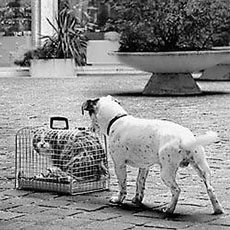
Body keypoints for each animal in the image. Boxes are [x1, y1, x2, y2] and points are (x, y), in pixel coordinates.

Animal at [82, 95, 224, 214]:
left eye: (89, 114)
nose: (88, 129)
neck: (116, 119)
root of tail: (186, 138)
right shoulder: (145, 166)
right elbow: (139, 183)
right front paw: (137, 199)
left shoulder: (119, 165)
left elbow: (122, 186)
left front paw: (118, 200)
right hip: (202, 168)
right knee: (210, 189)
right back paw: (218, 210)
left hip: (166, 173)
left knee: (176, 190)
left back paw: (169, 209)